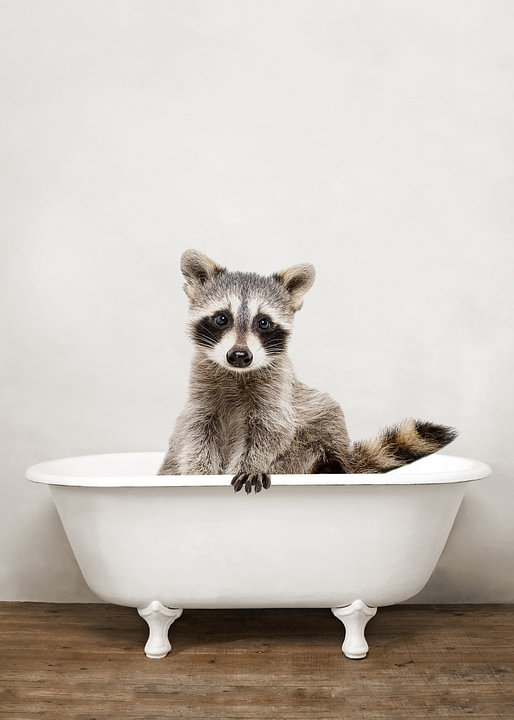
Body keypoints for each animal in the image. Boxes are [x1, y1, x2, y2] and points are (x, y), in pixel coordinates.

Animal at [158, 250, 457, 493]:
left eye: (263, 322)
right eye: (222, 318)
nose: (240, 356)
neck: (237, 374)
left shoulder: (277, 390)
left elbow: (272, 430)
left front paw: (251, 465)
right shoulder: (202, 391)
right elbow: (194, 431)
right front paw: (198, 474)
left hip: (323, 436)